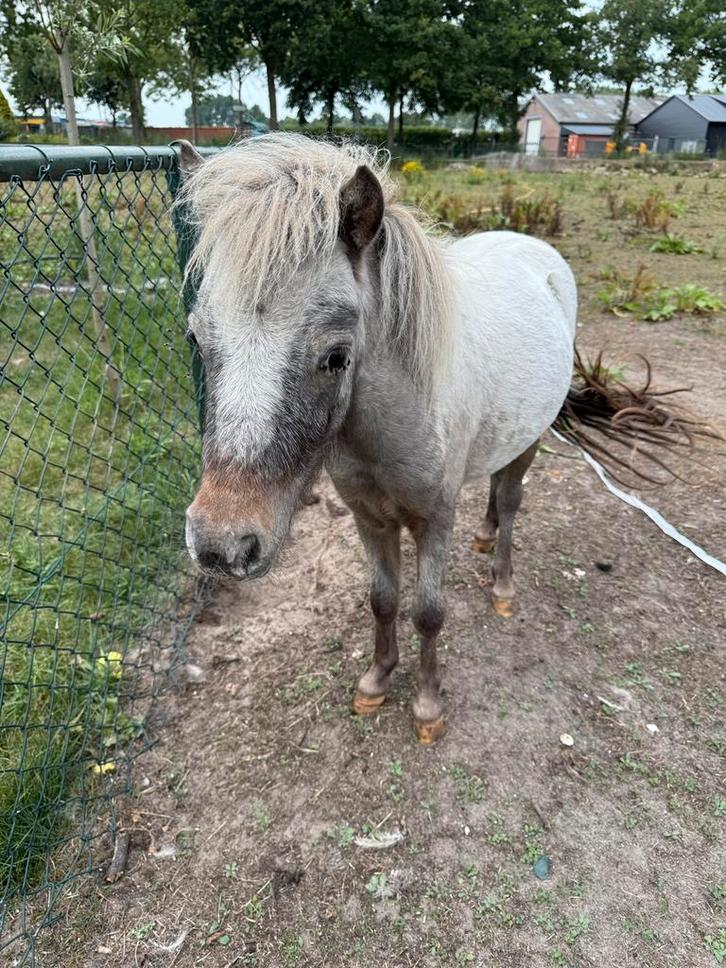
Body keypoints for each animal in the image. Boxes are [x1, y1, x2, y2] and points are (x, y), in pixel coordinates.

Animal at [176, 134, 705, 744]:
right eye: (196, 338)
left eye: (336, 356)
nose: (222, 545)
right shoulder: (369, 519)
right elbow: (382, 600)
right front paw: (377, 681)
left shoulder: (433, 521)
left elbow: (429, 613)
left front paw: (428, 706)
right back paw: (484, 536)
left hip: (532, 439)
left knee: (510, 498)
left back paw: (502, 584)